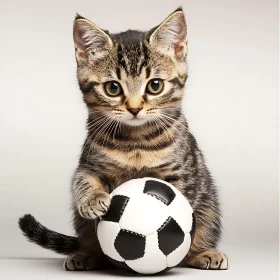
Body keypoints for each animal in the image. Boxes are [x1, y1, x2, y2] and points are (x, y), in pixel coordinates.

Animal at [18, 7, 228, 272]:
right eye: (113, 88)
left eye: (155, 85)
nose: (135, 108)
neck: (135, 141)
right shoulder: (88, 163)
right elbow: (82, 180)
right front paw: (92, 200)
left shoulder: (182, 173)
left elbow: (184, 215)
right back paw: (86, 255)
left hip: (210, 207)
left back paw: (204, 253)